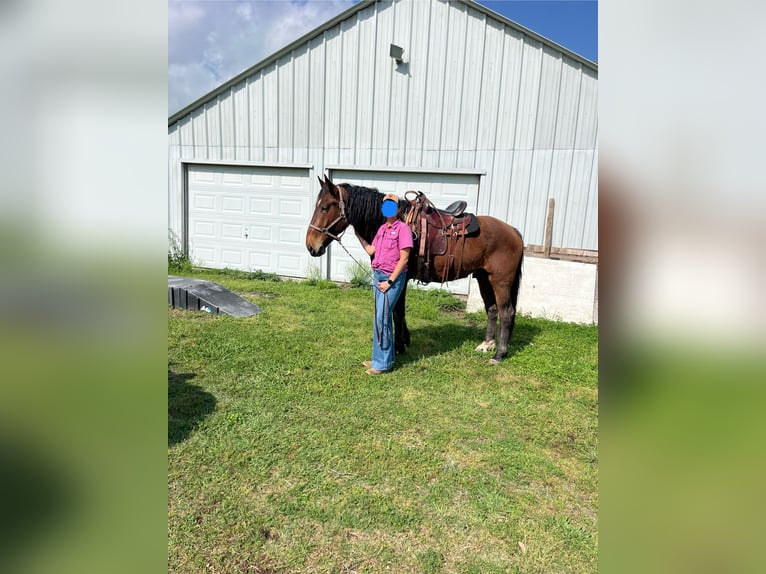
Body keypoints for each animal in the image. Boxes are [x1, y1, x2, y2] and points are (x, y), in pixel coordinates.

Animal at [305, 175, 524, 364]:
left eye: (324, 207)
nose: (310, 246)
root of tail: (513, 231)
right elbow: (398, 312)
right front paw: (404, 342)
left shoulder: (399, 278)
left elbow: (397, 312)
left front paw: (398, 347)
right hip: (484, 278)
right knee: (492, 309)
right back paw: (486, 345)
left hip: (500, 281)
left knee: (506, 312)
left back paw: (499, 354)